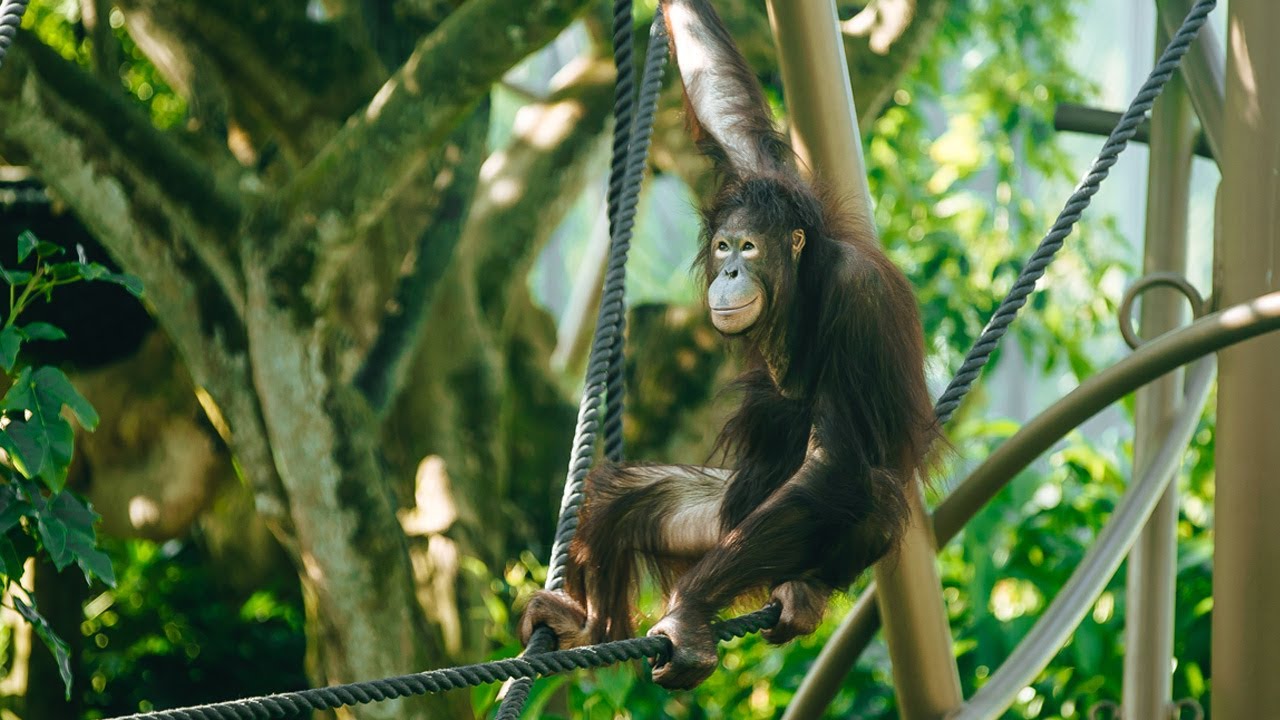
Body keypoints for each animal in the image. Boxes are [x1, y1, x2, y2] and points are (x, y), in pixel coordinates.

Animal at [520, 0, 938, 690]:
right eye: (722, 246)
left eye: (748, 247)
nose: (731, 271)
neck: (802, 284)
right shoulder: (759, 170)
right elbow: (725, 105)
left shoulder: (857, 298)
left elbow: (835, 461)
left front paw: (687, 615)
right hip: (719, 520)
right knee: (624, 495)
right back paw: (589, 625)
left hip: (766, 540)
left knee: (871, 492)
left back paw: (801, 592)